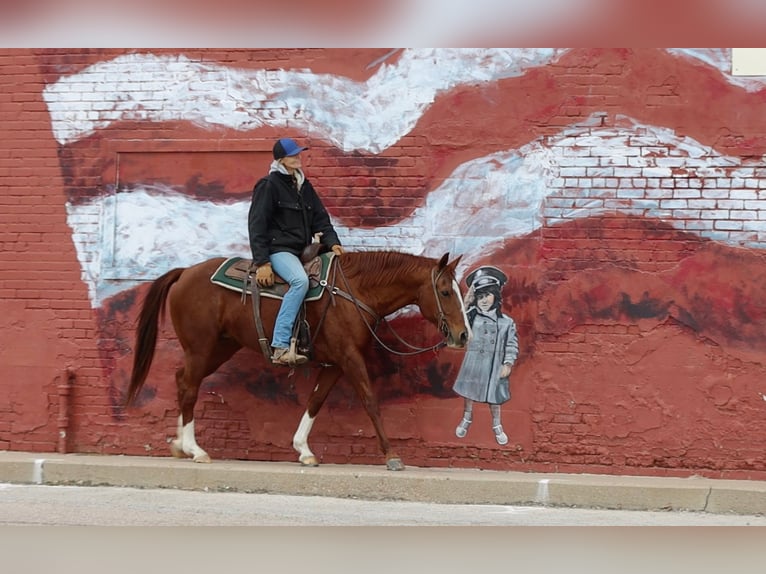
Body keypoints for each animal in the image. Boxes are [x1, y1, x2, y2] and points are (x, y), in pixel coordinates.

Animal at [126, 252, 472, 472]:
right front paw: (391, 455)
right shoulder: (349, 357)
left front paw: (304, 450)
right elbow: (370, 401)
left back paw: (179, 445)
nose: (463, 334)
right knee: (189, 387)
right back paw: (195, 450)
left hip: (219, 348)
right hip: (201, 347)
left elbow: (315, 401)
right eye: (445, 291)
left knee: (182, 379)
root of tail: (184, 272)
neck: (353, 292)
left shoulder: (335, 363)